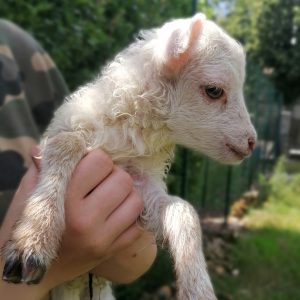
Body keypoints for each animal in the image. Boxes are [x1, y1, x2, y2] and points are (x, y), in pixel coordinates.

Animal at [1, 13, 255, 300]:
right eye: (214, 90)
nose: (252, 142)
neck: (128, 131)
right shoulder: (64, 130)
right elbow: (66, 144)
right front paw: (34, 237)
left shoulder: (140, 186)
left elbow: (184, 211)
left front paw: (198, 288)